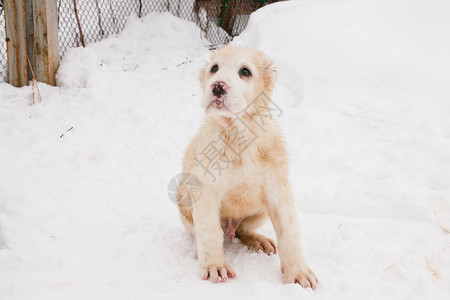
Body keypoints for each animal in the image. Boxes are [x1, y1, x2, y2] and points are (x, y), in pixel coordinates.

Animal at [178, 46, 318, 288]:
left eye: (245, 72)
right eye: (214, 68)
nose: (217, 86)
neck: (239, 134)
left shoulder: (279, 190)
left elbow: (289, 231)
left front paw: (298, 271)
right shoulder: (205, 190)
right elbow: (209, 231)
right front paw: (215, 265)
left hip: (260, 212)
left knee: (242, 230)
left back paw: (257, 240)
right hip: (184, 199)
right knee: (202, 231)